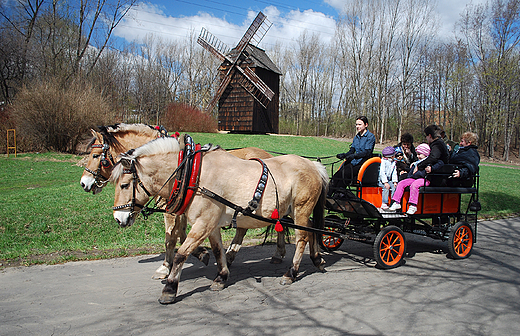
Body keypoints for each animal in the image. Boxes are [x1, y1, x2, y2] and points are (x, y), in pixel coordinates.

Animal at [79, 122, 284, 278]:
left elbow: (171, 237)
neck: (181, 167)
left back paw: (270, 254)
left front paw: (165, 267)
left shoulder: (172, 210)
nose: (83, 183)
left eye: (95, 155)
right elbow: (181, 234)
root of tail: (269, 155)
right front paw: (201, 253)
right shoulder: (182, 209)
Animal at [111, 136, 328, 304]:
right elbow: (216, 250)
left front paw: (170, 288)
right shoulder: (211, 224)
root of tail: (313, 164)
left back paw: (291, 272)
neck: (194, 174)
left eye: (124, 185)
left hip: (301, 208)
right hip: (292, 212)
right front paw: (221, 276)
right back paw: (317, 258)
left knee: (302, 238)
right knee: (310, 229)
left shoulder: (203, 223)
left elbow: (181, 253)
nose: (118, 219)